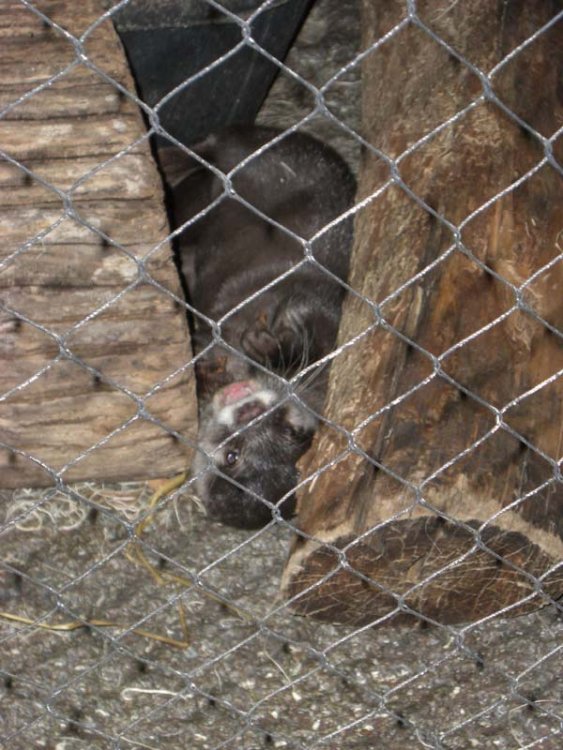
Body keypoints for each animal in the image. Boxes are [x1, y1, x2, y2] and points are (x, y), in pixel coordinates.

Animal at [159, 126, 355, 528]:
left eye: (233, 455)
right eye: (289, 427)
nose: (251, 411)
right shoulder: (327, 305)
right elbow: (318, 331)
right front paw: (270, 344)